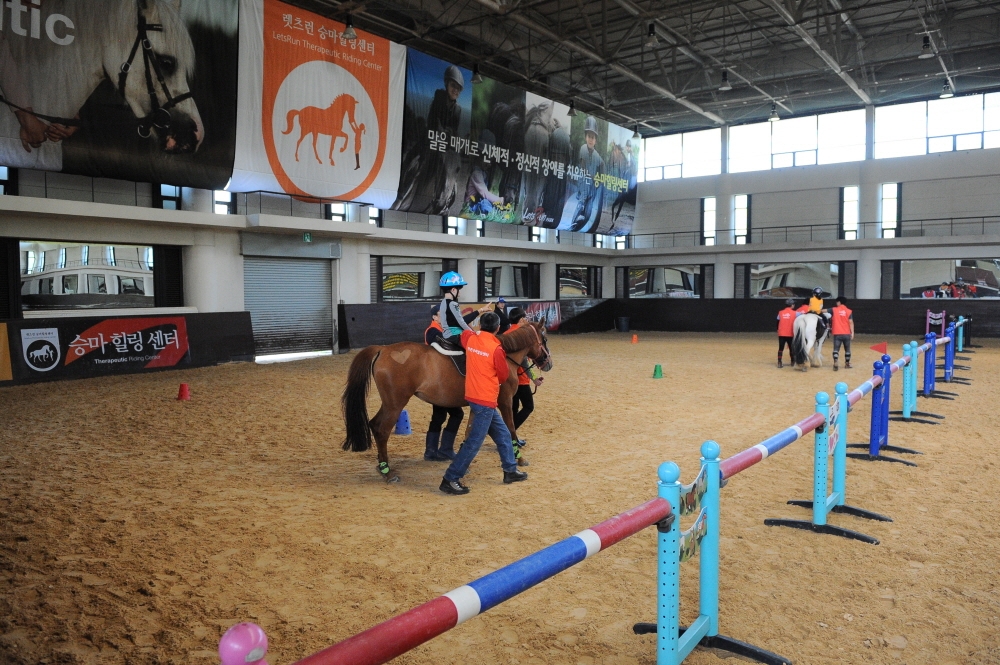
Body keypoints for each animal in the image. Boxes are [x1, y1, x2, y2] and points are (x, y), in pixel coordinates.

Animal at [340, 320, 552, 480]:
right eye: (545, 338)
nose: (548, 363)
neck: (505, 355)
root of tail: (383, 349)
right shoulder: (504, 401)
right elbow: (510, 428)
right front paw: (519, 459)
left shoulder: (479, 405)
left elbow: (470, 431)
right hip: (395, 403)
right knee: (382, 429)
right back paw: (387, 472)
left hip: (390, 403)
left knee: (374, 424)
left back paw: (382, 466)